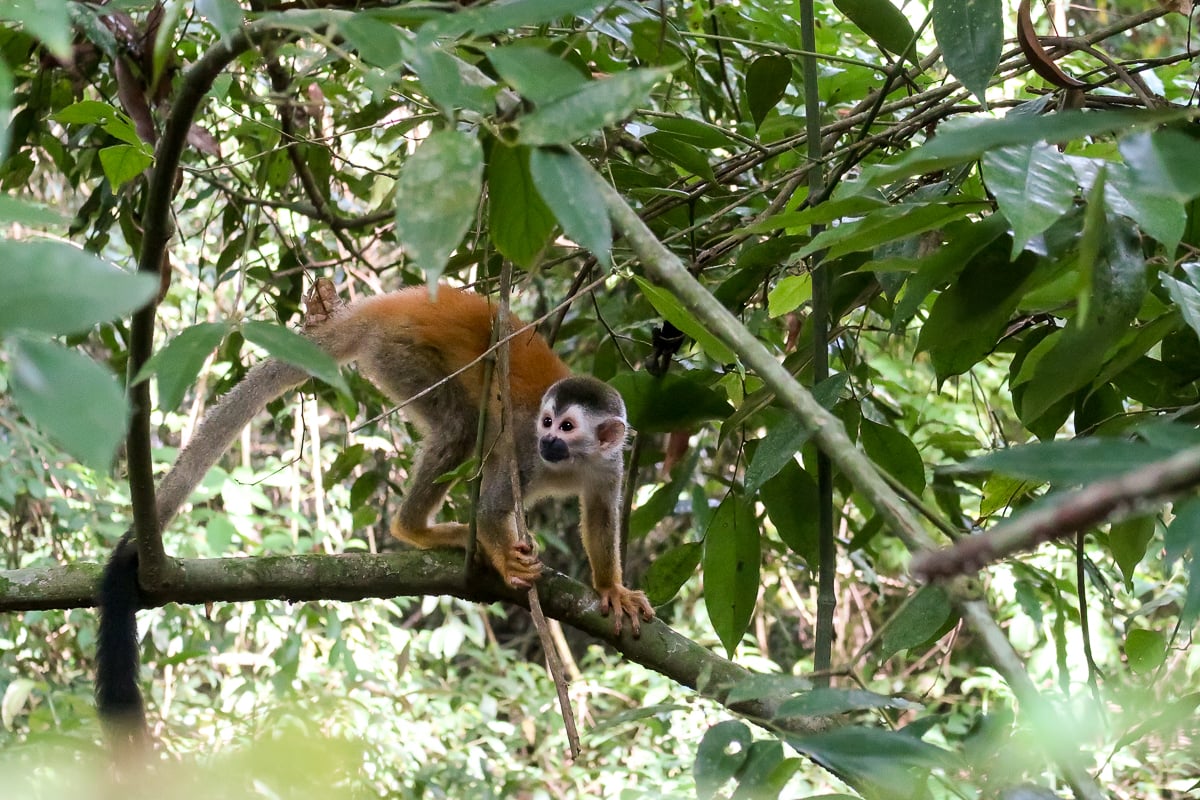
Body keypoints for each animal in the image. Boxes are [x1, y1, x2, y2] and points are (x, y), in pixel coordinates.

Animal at [96, 280, 657, 753]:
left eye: (568, 427)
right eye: (547, 422)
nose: (548, 440)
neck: (567, 463)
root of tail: (390, 303)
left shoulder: (608, 464)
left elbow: (602, 515)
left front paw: (611, 588)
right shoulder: (521, 446)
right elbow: (494, 501)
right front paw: (504, 557)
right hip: (402, 354)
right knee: (460, 427)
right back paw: (417, 529)